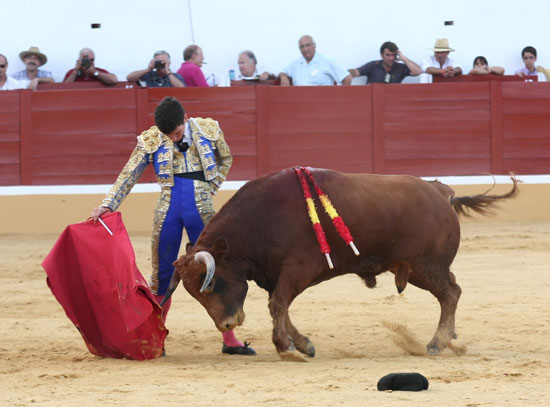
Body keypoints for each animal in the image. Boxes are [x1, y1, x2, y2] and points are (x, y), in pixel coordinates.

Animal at [162, 167, 520, 362]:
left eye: (211, 282)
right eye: (195, 293)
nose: (226, 325)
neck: (258, 220)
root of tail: (441, 191)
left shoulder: (297, 268)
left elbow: (278, 304)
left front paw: (285, 347)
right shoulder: (278, 275)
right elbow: (280, 306)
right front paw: (302, 344)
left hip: (425, 266)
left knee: (450, 294)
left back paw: (436, 343)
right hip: (426, 268)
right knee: (453, 290)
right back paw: (451, 338)